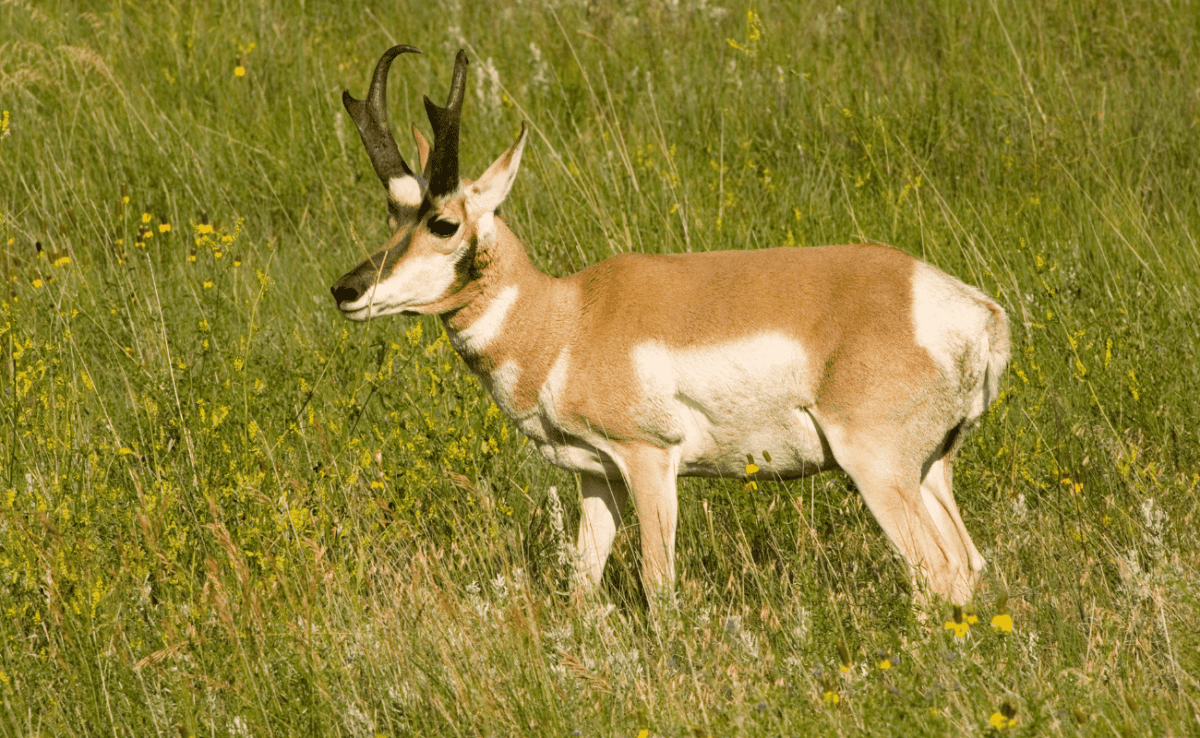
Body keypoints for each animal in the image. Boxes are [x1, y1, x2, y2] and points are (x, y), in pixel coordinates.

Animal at [333, 49, 1008, 609]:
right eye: (394, 216)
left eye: (444, 223)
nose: (346, 291)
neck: (567, 317)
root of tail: (972, 309)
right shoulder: (597, 477)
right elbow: (582, 584)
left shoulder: (649, 460)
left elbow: (658, 583)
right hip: (930, 471)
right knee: (968, 565)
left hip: (876, 466)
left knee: (936, 569)